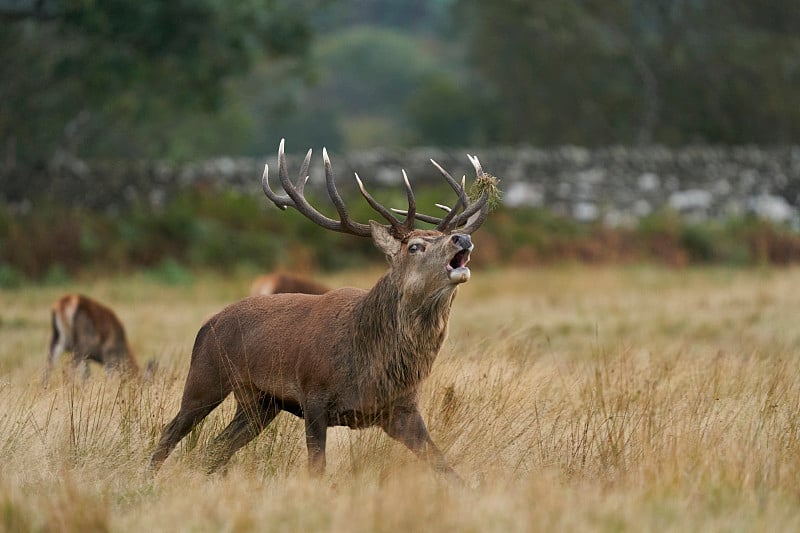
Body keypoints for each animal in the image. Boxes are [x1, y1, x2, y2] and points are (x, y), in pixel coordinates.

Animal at [152, 139, 494, 480]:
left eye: (442, 236)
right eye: (415, 246)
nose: (462, 237)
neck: (369, 365)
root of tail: (205, 325)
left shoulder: (403, 410)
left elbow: (445, 467)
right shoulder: (313, 395)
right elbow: (317, 466)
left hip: (260, 403)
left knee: (215, 450)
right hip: (205, 377)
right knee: (170, 432)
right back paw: (148, 478)